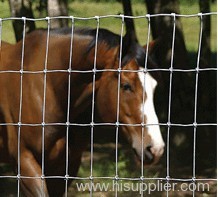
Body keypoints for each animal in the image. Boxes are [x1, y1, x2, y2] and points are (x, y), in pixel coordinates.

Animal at [0, 26, 164, 196]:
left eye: (154, 87)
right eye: (126, 85)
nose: (156, 148)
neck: (47, 88)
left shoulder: (66, 166)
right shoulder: (25, 162)